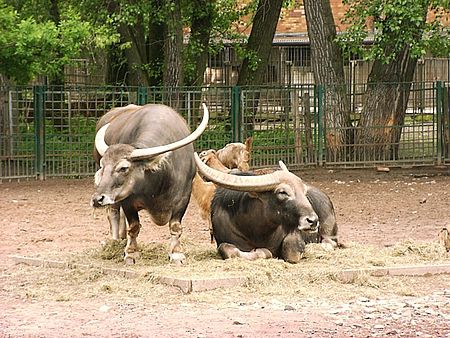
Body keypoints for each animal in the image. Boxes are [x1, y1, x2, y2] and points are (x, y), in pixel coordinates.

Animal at [92, 103, 211, 264]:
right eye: (102, 165)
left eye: (123, 168)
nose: (97, 199)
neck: (158, 185)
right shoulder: (127, 199)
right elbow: (134, 226)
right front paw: (131, 253)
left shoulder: (183, 197)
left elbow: (175, 226)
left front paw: (176, 253)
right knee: (113, 212)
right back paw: (115, 241)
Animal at [193, 153, 338, 264]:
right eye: (283, 192)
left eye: (304, 191)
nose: (313, 221)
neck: (256, 231)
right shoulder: (222, 241)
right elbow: (227, 249)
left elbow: (290, 250)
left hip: (329, 232)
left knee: (330, 243)